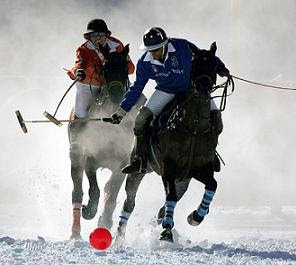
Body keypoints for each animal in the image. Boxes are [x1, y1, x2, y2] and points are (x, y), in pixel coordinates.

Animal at [67, 46, 146, 239]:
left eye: (125, 67)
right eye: (104, 68)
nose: (116, 95)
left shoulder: (122, 164)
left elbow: (111, 194)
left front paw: (103, 222)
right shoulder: (88, 158)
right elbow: (91, 189)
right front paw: (88, 212)